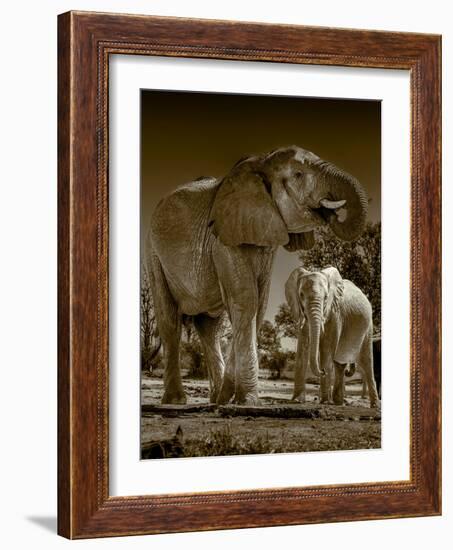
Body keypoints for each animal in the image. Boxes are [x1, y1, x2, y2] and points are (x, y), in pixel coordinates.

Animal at [145, 146, 368, 406]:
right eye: (299, 175)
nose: (331, 213)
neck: (260, 164)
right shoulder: (223, 239)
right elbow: (246, 299)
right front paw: (248, 400)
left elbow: (258, 303)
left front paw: (232, 398)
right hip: (153, 253)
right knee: (169, 319)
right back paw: (176, 400)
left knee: (210, 328)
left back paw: (216, 399)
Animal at [286, 268, 378, 410]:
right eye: (301, 295)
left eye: (325, 297)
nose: (322, 371)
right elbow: (303, 345)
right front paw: (296, 401)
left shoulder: (335, 313)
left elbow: (327, 348)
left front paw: (324, 402)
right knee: (340, 363)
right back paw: (339, 402)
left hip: (368, 326)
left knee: (366, 360)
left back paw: (374, 405)